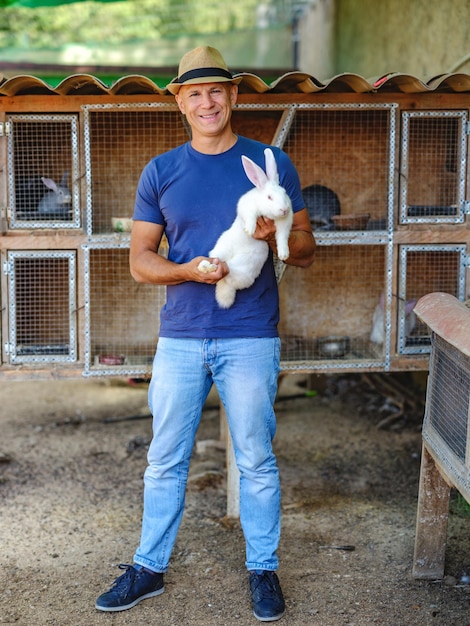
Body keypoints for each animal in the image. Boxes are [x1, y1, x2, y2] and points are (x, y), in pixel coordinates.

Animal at [198, 149, 294, 310]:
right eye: (269, 197)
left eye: (285, 192)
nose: (284, 209)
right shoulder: (246, 207)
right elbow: (250, 216)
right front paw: (249, 229)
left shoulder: (284, 224)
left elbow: (282, 237)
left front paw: (283, 254)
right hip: (222, 248)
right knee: (218, 262)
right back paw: (205, 266)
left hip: (244, 269)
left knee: (227, 272)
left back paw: (211, 269)